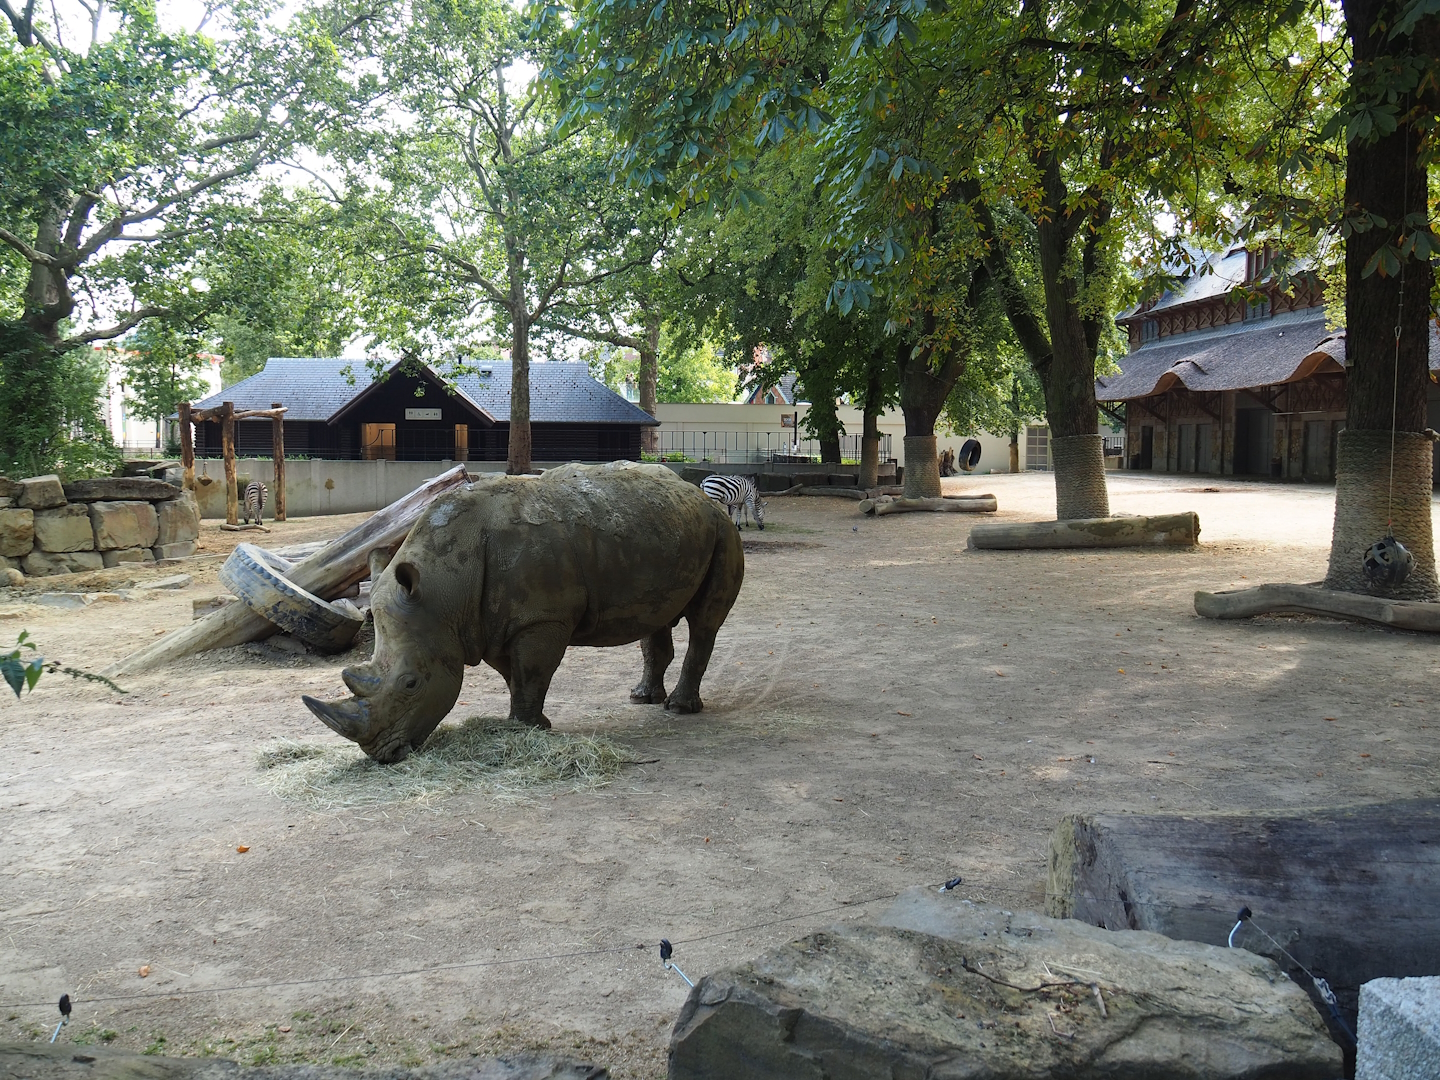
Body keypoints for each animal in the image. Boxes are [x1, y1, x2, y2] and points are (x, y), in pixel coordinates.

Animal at [302, 462, 745, 762]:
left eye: (411, 684)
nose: (384, 755)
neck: (445, 590)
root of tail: (698, 495)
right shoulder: (489, 625)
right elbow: (512, 675)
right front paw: (521, 724)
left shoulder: (542, 618)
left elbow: (533, 671)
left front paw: (529, 728)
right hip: (665, 530)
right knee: (656, 617)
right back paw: (642, 699)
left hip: (723, 531)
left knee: (705, 623)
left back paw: (680, 709)